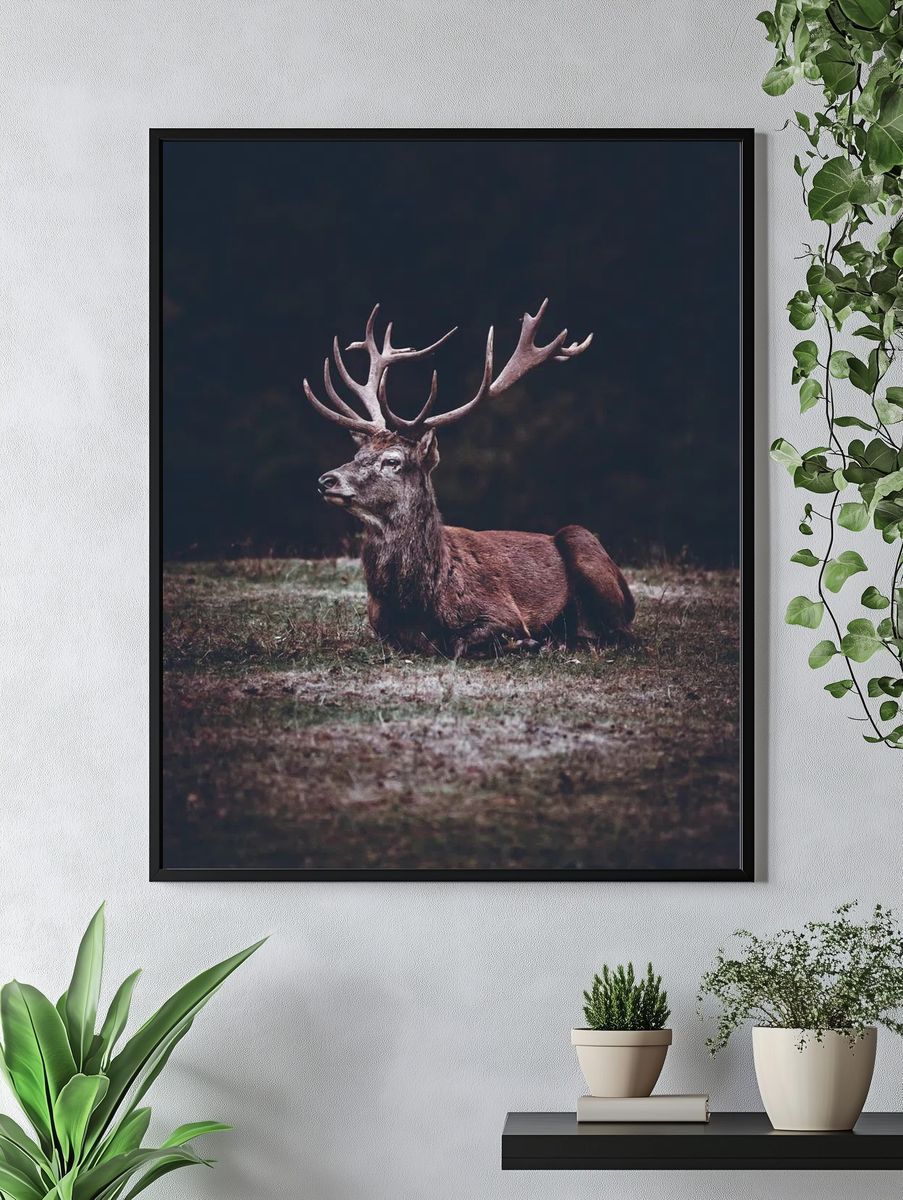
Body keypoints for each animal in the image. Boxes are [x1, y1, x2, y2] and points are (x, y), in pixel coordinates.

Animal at [302, 299, 634, 658]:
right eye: (358, 455)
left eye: (392, 461)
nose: (326, 480)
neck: (417, 603)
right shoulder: (380, 626)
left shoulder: (503, 610)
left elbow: (462, 643)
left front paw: (526, 641)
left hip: (583, 542)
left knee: (621, 633)